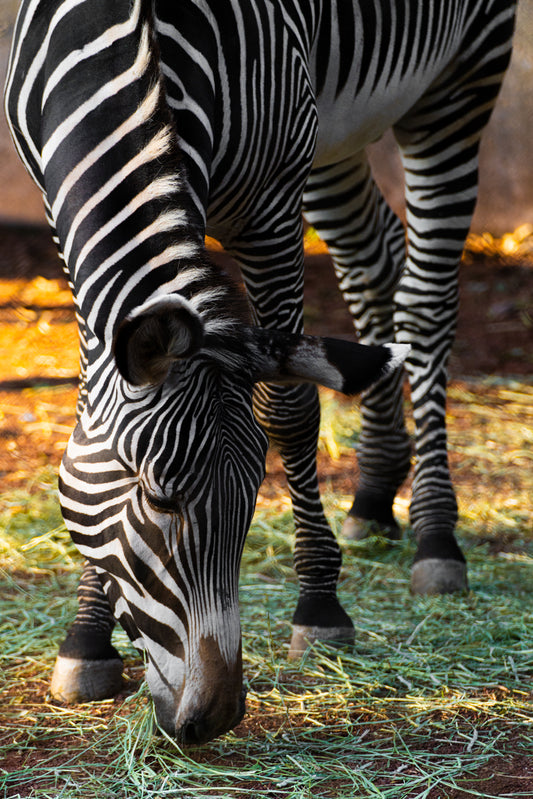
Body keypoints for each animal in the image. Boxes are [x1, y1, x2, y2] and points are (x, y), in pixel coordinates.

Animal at [4, 0, 515, 744]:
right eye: (160, 499)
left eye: (252, 500)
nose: (212, 718)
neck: (131, 45)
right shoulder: (58, 206)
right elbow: (89, 415)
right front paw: (87, 638)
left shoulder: (270, 206)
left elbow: (291, 410)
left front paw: (320, 605)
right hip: (331, 141)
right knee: (375, 261)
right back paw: (372, 493)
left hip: (459, 81)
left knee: (425, 300)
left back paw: (433, 533)